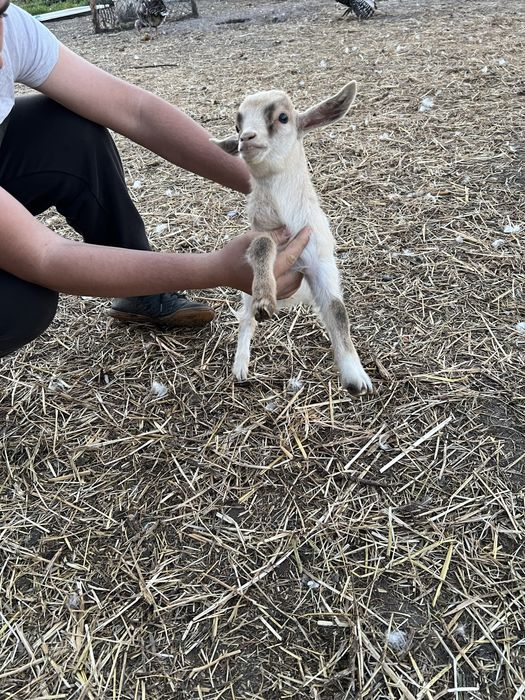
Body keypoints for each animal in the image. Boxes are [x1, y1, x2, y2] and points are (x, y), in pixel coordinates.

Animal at [213, 82, 373, 396]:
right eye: (237, 124)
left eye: (283, 117)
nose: (245, 138)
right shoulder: (258, 237)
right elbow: (262, 245)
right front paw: (265, 299)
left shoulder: (321, 263)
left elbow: (338, 311)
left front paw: (355, 376)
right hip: (244, 292)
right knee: (245, 318)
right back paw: (240, 366)